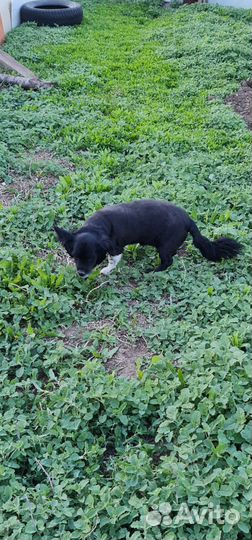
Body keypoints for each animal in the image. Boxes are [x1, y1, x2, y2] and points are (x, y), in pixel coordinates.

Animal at [54, 200, 241, 280]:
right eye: (74, 257)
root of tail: (189, 220)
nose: (81, 273)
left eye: (92, 259)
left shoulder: (116, 248)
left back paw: (153, 271)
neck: (97, 226)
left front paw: (106, 270)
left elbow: (113, 260)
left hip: (165, 247)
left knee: (168, 261)